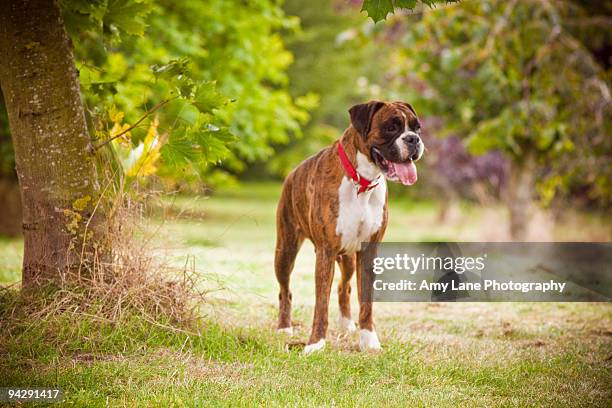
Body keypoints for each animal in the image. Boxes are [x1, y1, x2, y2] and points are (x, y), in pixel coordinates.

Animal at [274, 99, 424, 354]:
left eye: (417, 128)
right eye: (391, 127)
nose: (413, 139)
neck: (361, 182)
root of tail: (291, 174)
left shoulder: (368, 252)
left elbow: (366, 302)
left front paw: (369, 341)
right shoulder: (325, 252)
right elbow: (321, 305)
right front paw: (315, 343)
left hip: (348, 259)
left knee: (343, 288)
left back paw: (346, 323)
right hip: (285, 252)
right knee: (285, 291)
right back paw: (284, 327)